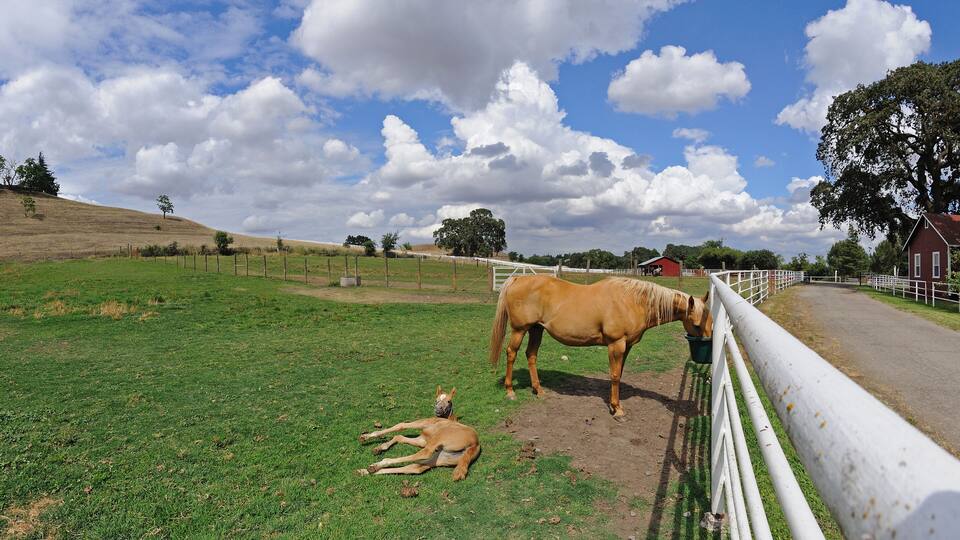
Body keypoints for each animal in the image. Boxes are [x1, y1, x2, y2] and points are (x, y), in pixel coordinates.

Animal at [488, 275, 712, 420]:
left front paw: (616, 403)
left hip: (536, 329)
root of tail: (517, 278)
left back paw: (539, 389)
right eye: (697, 324)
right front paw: (616, 409)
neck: (633, 301)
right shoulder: (616, 344)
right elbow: (615, 375)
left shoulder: (626, 346)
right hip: (520, 329)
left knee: (531, 355)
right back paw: (510, 391)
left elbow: (618, 374)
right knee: (511, 353)